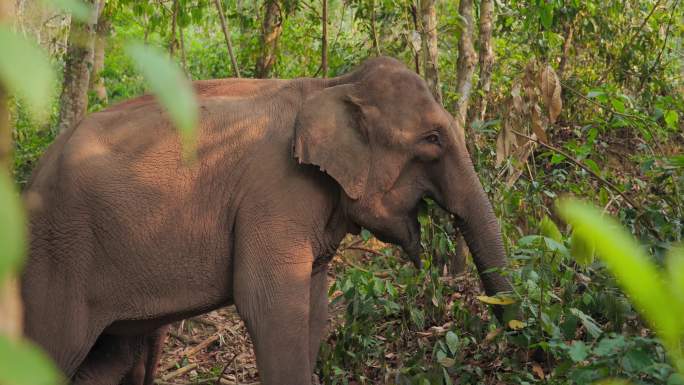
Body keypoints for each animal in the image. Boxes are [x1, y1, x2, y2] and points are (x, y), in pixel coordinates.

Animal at [20, 57, 512, 384]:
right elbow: (268, 303)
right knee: (49, 349)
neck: (334, 83)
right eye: (432, 139)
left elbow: (313, 307)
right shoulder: (276, 195)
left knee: (110, 357)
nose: (508, 337)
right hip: (58, 254)